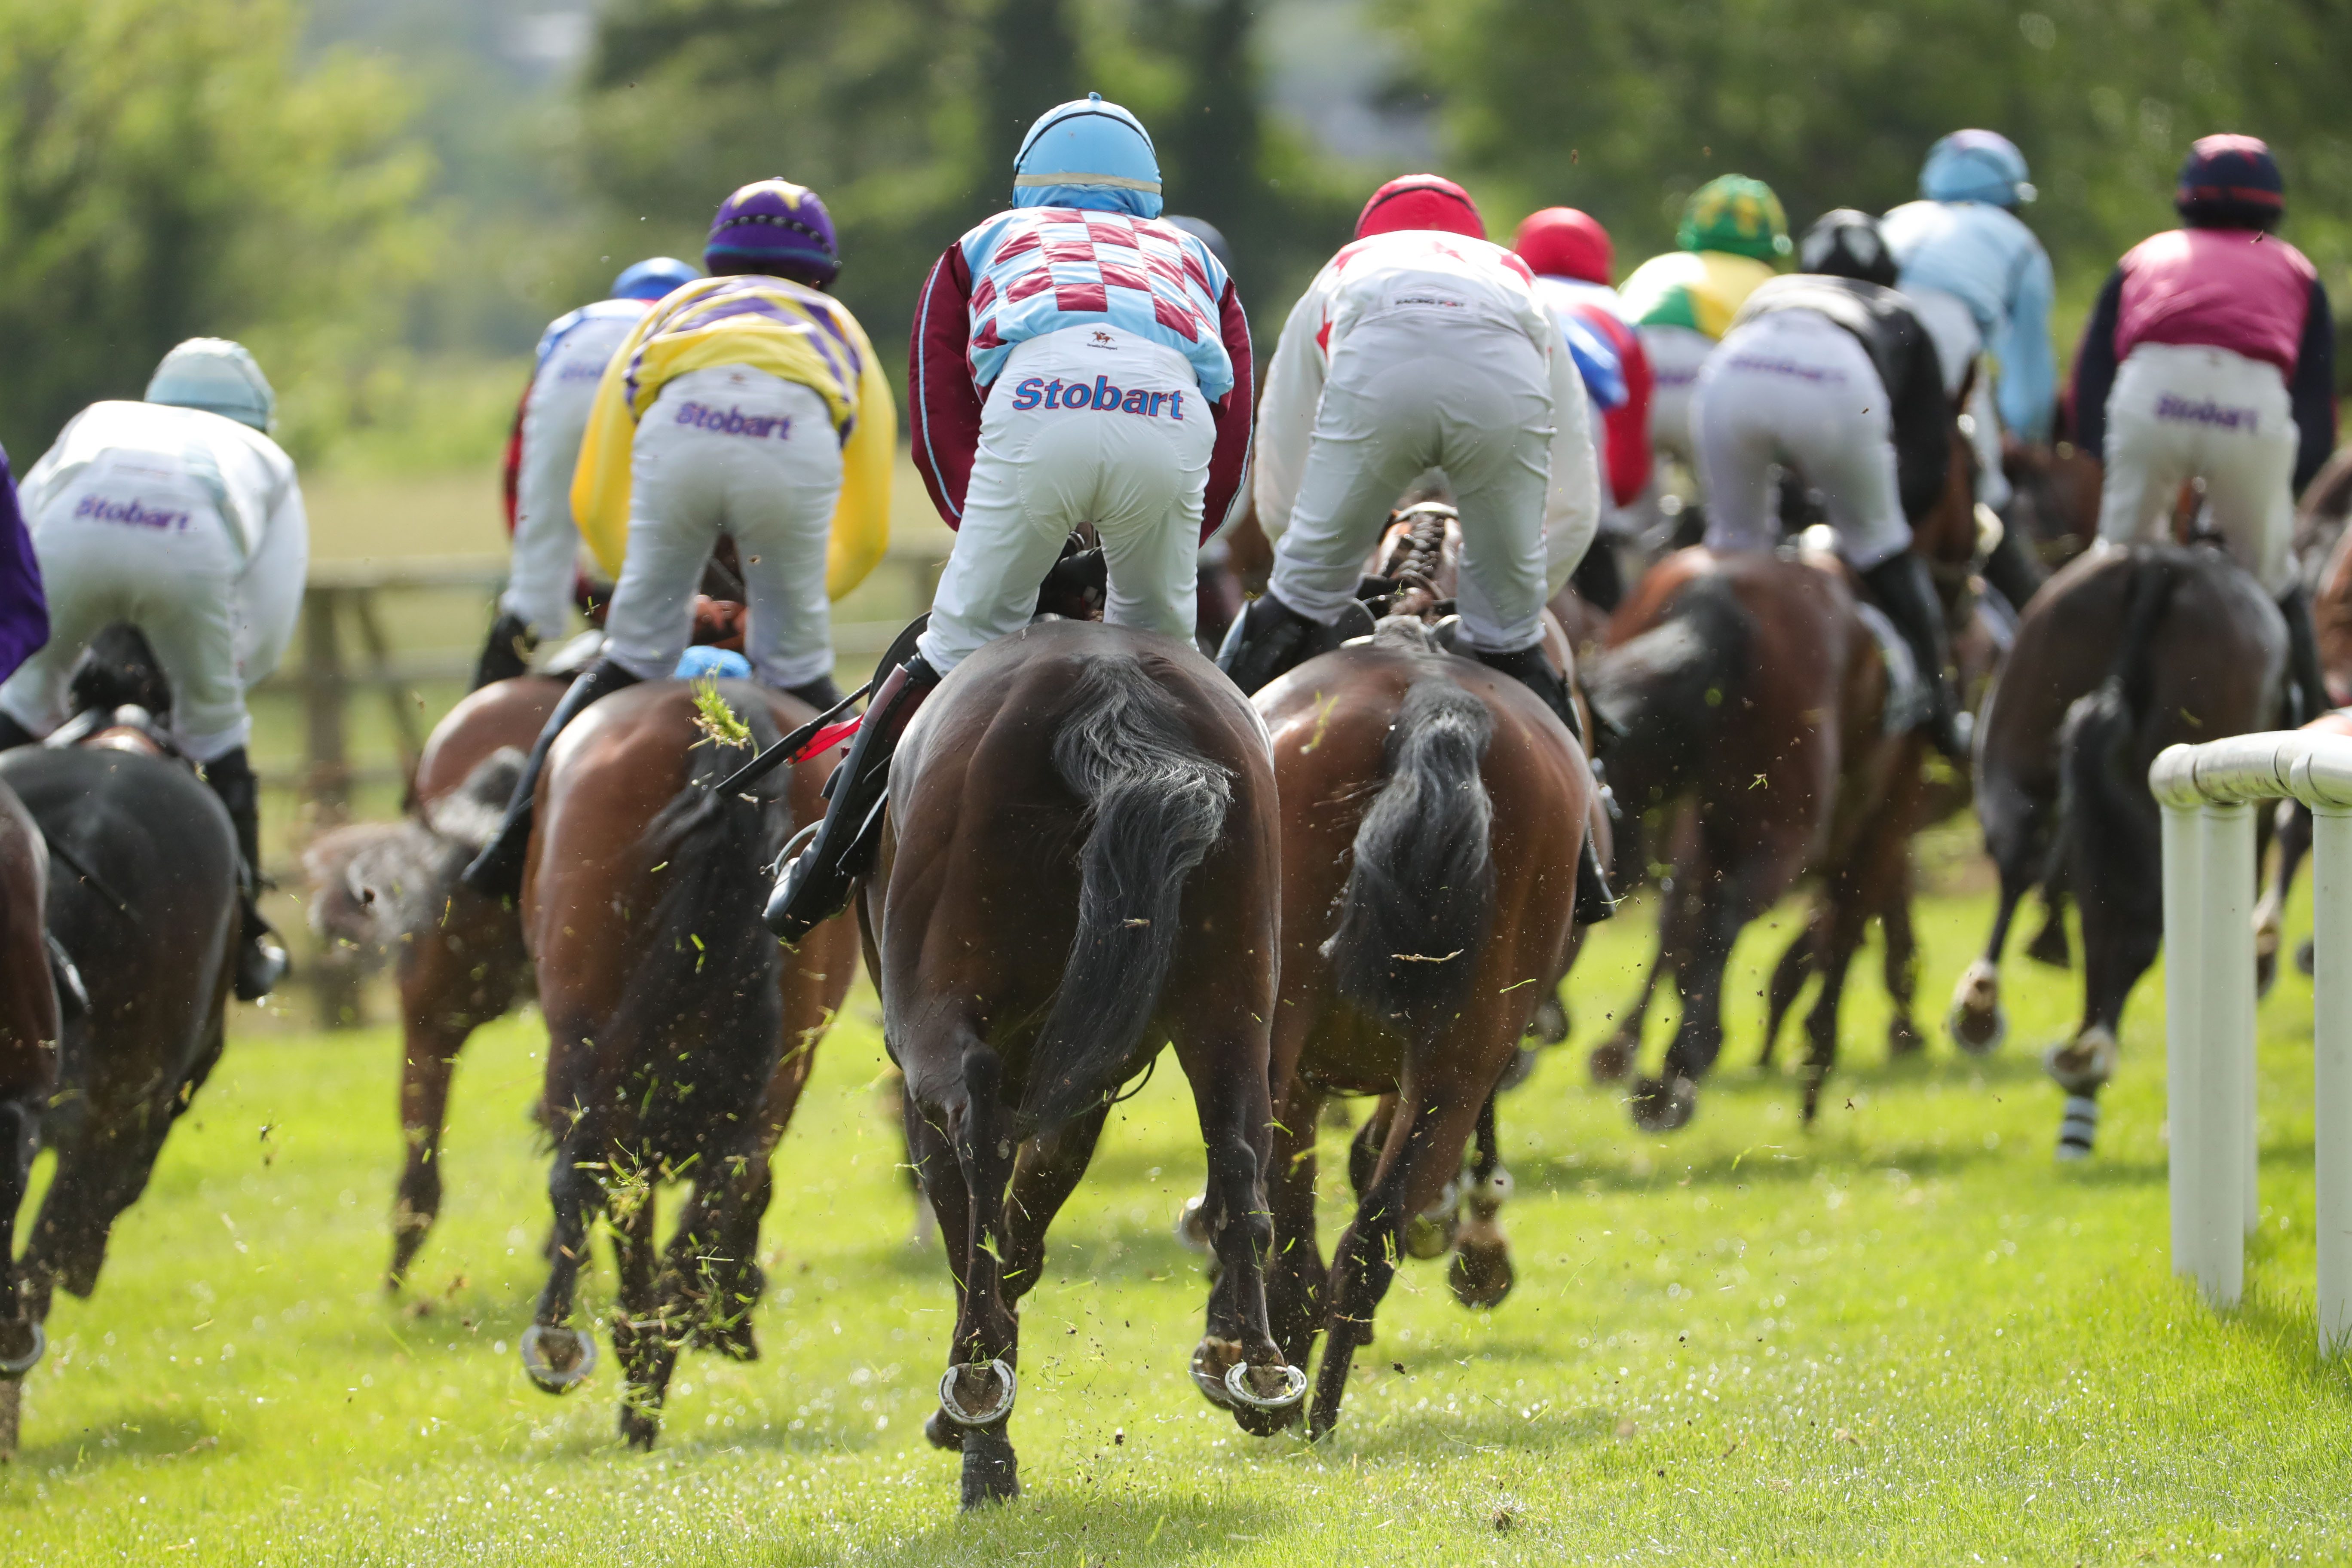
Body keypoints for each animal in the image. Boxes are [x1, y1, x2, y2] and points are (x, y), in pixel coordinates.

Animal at [875, 620, 1298, 1504]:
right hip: (1230, 1010)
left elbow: (980, 1230)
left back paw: (975, 1390)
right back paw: (1258, 1368)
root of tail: (1108, 685)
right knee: (1240, 1156)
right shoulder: (1090, 1081)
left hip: (938, 1025)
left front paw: (977, 1434)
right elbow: (1025, 1229)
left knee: (976, 1132)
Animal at [1251, 512, 1599, 1439]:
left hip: (1290, 1046)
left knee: (1301, 1237)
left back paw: (1268, 1379)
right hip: (1464, 1050)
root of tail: (1432, 708)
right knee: (1368, 1237)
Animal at [1938, 545, 2286, 1161]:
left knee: (2030, 865)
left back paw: (1992, 1012)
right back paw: (2090, 1060)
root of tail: (2158, 566)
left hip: (2015, 746)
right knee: (2134, 923)